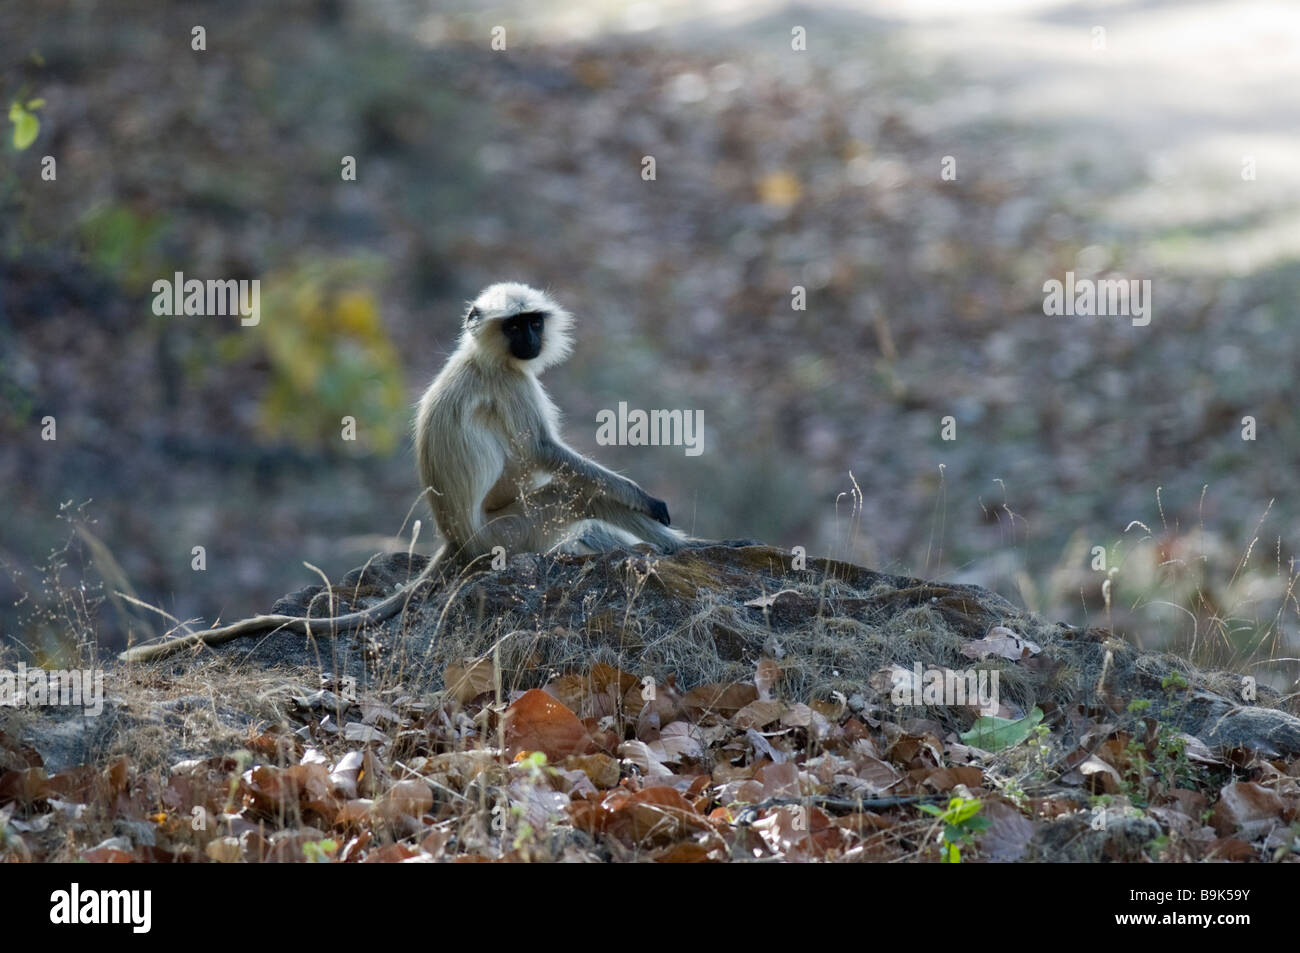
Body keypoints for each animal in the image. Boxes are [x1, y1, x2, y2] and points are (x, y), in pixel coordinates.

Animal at [124, 278, 702, 657]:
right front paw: (648, 500)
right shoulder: (512, 382)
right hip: (511, 534)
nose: (532, 341)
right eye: (516, 327)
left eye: (533, 322)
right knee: (580, 494)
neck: (479, 356)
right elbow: (544, 452)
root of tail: (457, 540)